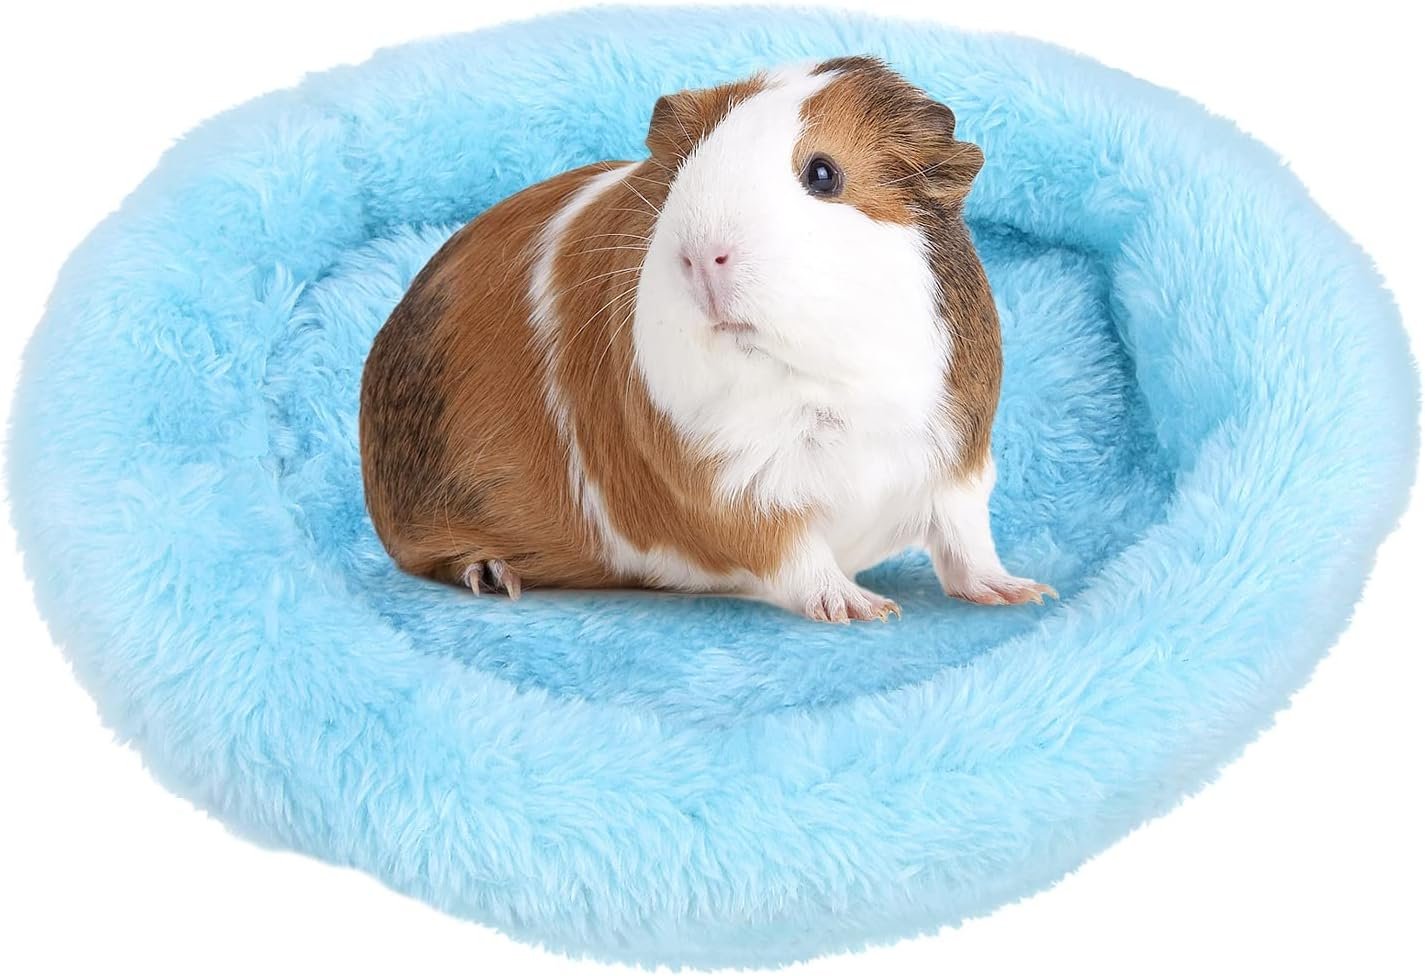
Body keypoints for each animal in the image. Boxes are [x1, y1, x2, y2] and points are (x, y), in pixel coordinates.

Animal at [359, 57, 1054, 622]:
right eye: (684, 178)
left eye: (823, 174)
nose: (700, 256)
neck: (821, 382)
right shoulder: (733, 487)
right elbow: (793, 554)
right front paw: (862, 609)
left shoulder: (957, 463)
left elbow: (966, 544)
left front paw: (1022, 593)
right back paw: (495, 576)